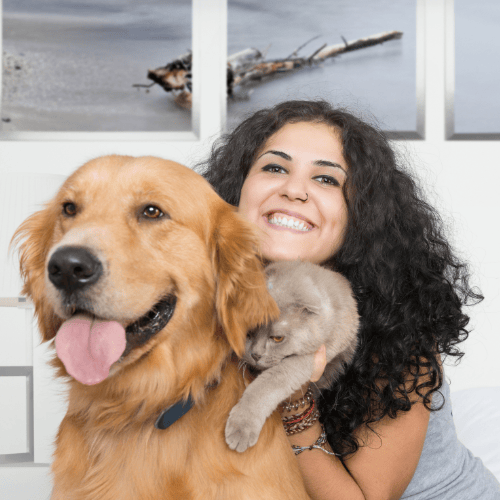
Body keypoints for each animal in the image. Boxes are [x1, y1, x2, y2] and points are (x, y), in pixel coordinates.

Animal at [224, 262, 360, 454]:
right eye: (249, 333)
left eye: (277, 338)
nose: (256, 354)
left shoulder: (308, 358)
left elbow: (265, 386)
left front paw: (241, 429)